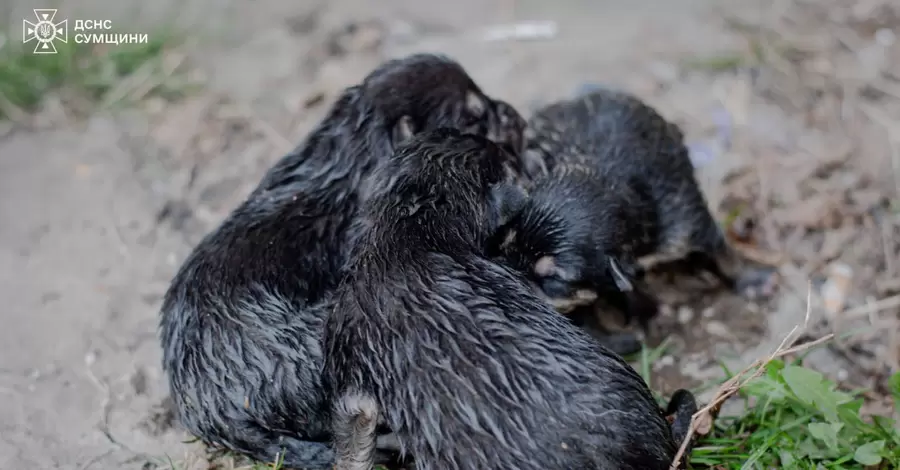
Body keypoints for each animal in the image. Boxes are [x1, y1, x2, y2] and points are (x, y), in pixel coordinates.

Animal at [492, 88, 740, 336]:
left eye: (554, 281)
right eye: (505, 243)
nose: (507, 279)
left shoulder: (683, 220)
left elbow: (719, 249)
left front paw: (742, 280)